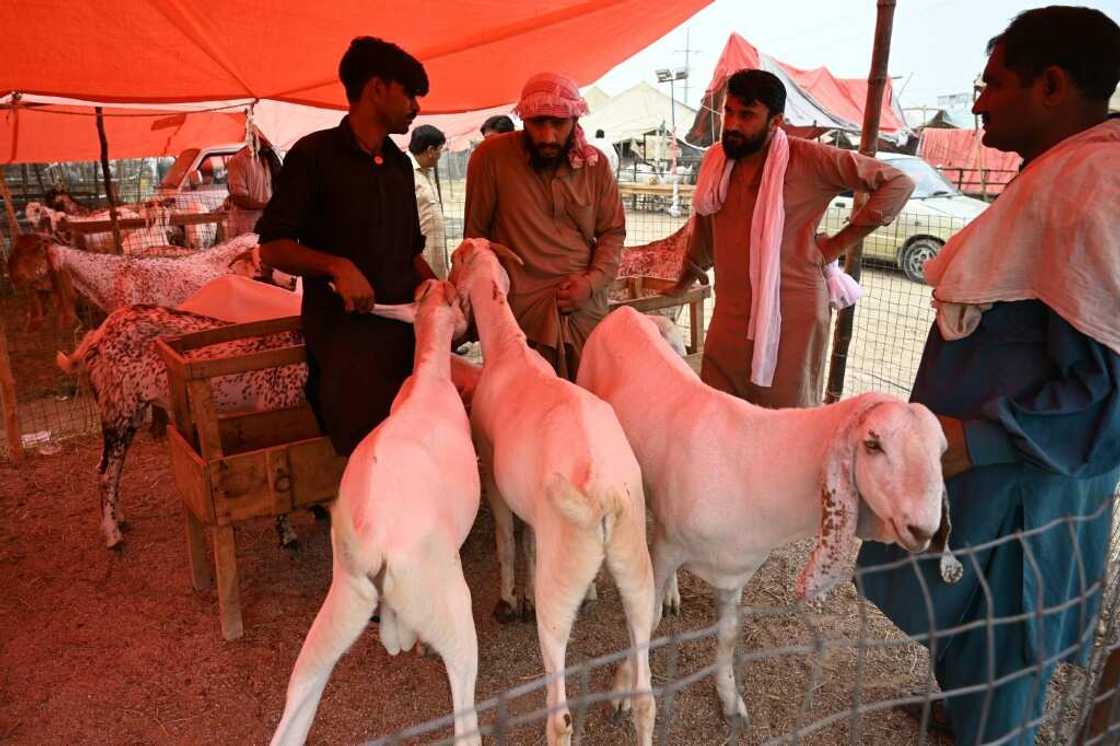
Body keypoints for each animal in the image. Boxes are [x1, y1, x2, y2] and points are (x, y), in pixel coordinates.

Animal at [274, 277, 481, 743]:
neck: (428, 377)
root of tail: (372, 545)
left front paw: (397, 639)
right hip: (451, 607)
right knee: (465, 715)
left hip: (337, 611)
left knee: (297, 699)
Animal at [445, 239, 654, 743]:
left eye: (457, 261)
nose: (443, 281)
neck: (508, 350)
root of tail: (604, 497)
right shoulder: (536, 514)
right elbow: (531, 546)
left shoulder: (494, 481)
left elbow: (506, 544)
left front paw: (508, 600)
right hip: (636, 569)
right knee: (646, 698)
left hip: (561, 591)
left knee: (559, 716)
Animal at [577, 304, 963, 721]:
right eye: (873, 444)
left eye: (942, 451)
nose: (924, 529)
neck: (756, 463)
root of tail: (627, 310)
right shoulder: (668, 548)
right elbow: (644, 621)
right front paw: (623, 690)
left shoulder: (734, 569)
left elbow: (729, 634)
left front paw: (729, 698)